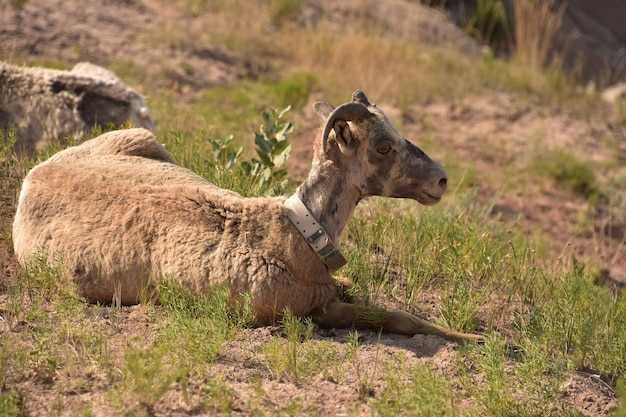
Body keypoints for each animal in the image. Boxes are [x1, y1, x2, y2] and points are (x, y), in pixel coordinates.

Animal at [13, 90, 482, 342]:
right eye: (383, 147)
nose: (440, 180)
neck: (296, 234)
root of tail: (34, 175)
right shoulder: (310, 312)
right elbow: (395, 317)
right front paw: (475, 338)